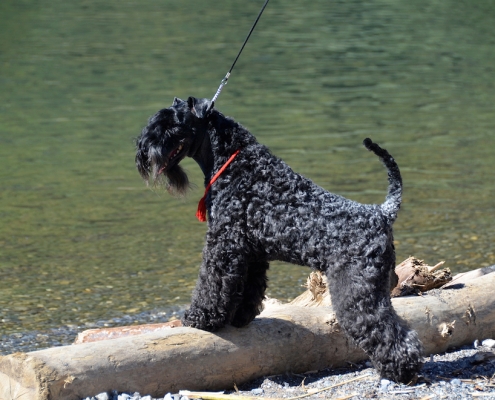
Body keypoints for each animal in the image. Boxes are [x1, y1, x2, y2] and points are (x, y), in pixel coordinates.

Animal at [135, 96, 422, 382]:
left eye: (171, 125)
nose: (142, 150)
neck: (233, 161)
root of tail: (382, 213)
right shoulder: (251, 253)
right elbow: (248, 288)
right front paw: (239, 318)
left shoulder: (223, 243)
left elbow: (212, 284)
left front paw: (200, 318)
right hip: (379, 285)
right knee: (403, 327)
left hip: (357, 286)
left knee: (381, 327)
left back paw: (400, 370)